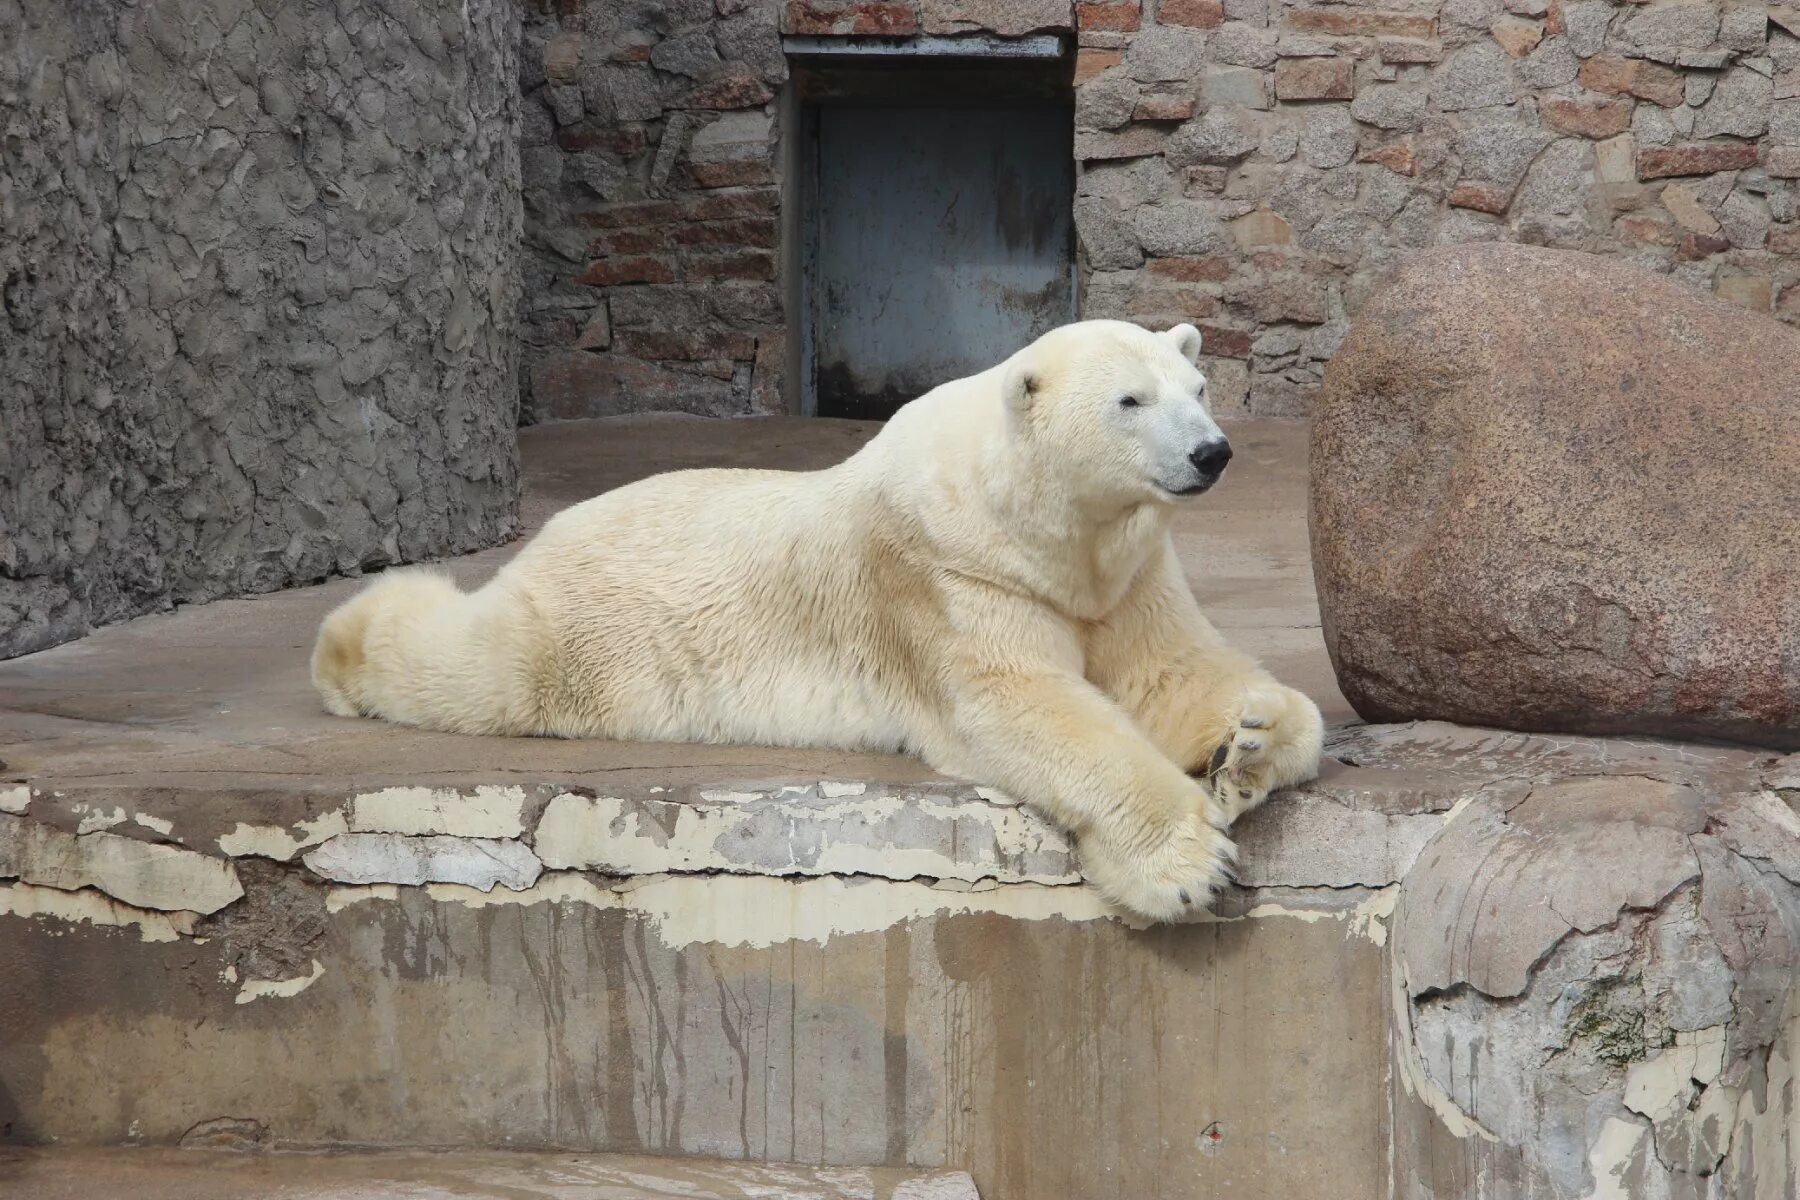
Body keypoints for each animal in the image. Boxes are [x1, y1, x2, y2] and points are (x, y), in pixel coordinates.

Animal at [309, 318, 1324, 921]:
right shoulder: (948, 573)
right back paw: (348, 641)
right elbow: (1026, 705)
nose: (1212, 452)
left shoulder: (1126, 573)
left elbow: (1169, 668)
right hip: (587, 631)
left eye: (1197, 389)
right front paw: (1188, 863)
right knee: (481, 664)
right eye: (1129, 401)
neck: (1031, 522)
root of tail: (553, 531)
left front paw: (1253, 738)